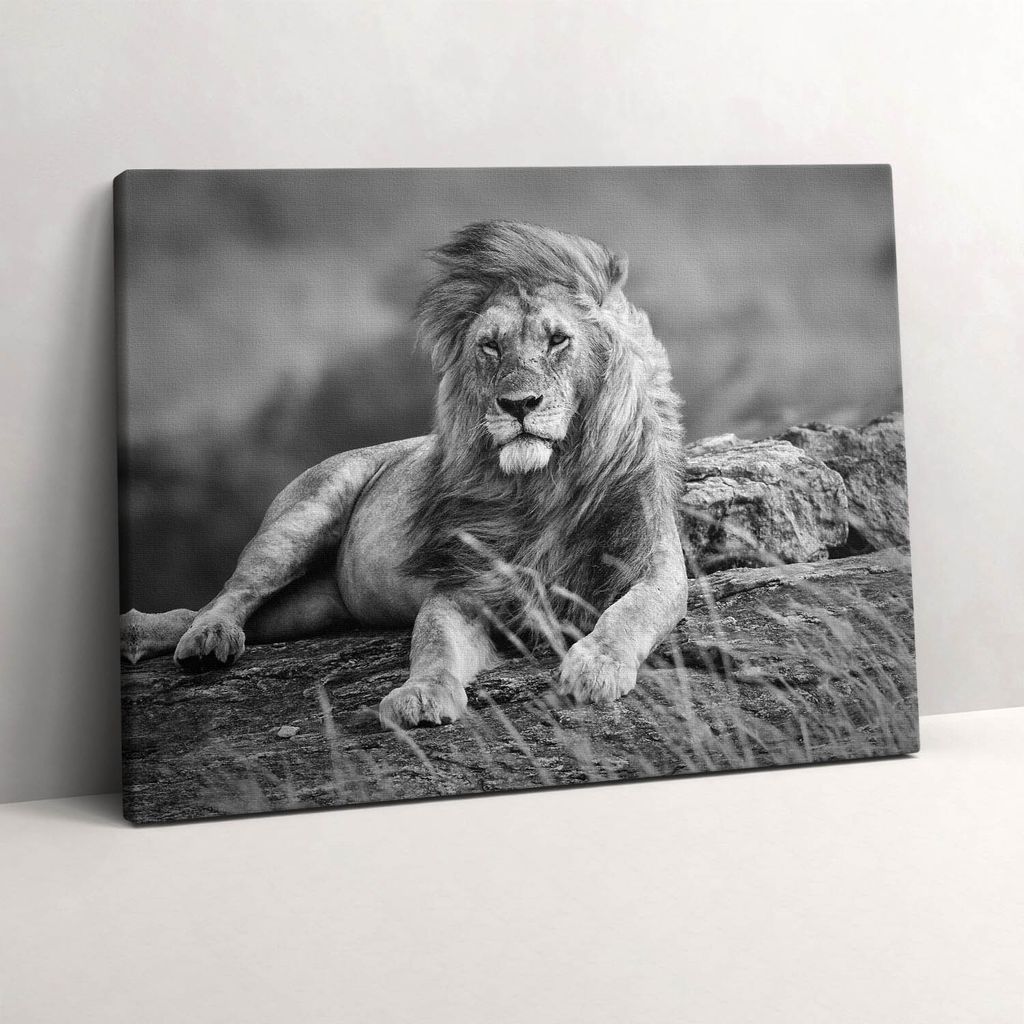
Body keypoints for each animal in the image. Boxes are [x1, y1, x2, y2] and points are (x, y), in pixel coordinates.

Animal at [121, 220, 689, 729]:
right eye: (490, 346)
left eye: (558, 341)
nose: (518, 404)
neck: (544, 485)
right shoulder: (465, 586)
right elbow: (432, 642)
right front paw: (420, 696)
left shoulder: (655, 563)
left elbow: (632, 612)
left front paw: (596, 667)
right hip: (301, 519)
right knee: (228, 595)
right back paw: (201, 638)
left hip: (311, 608)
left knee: (214, 611)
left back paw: (147, 635)